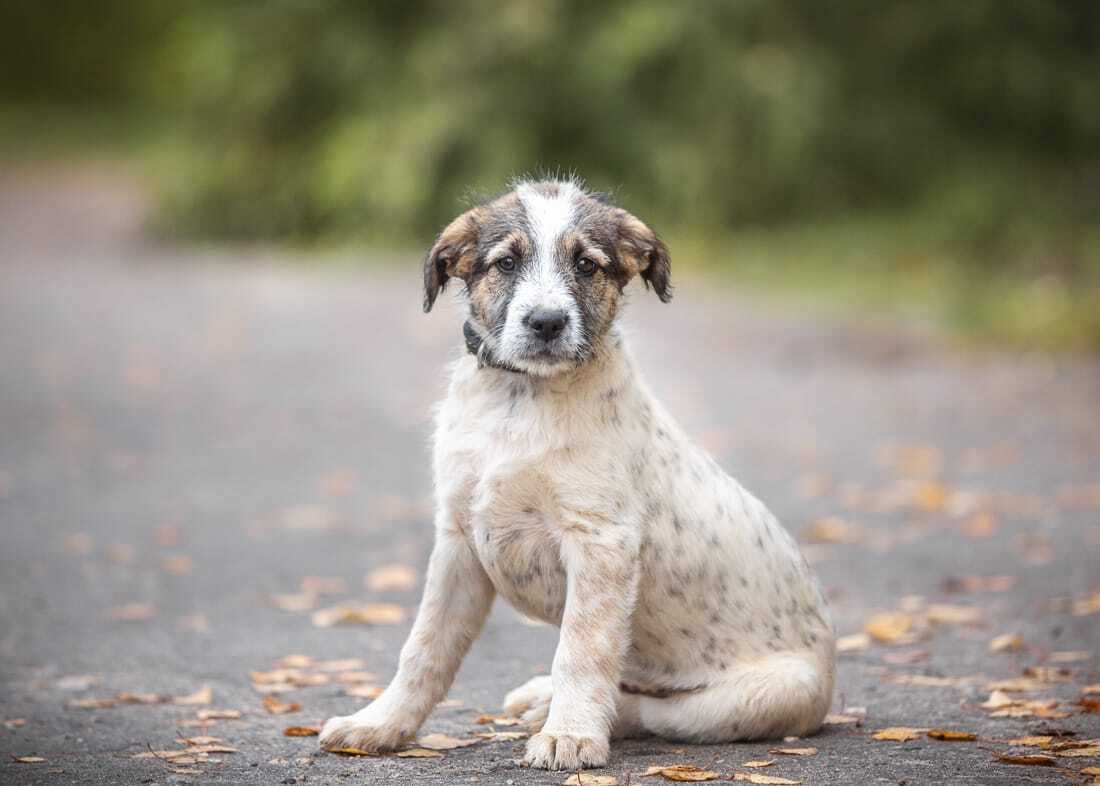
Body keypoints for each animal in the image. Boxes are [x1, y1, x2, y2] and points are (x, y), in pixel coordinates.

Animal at [319, 176, 831, 769]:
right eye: (506, 262)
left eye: (586, 264)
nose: (546, 322)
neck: (519, 398)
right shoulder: (458, 540)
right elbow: (424, 647)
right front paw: (379, 724)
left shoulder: (600, 543)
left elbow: (581, 651)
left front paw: (570, 735)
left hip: (755, 697)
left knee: (652, 710)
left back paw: (555, 713)